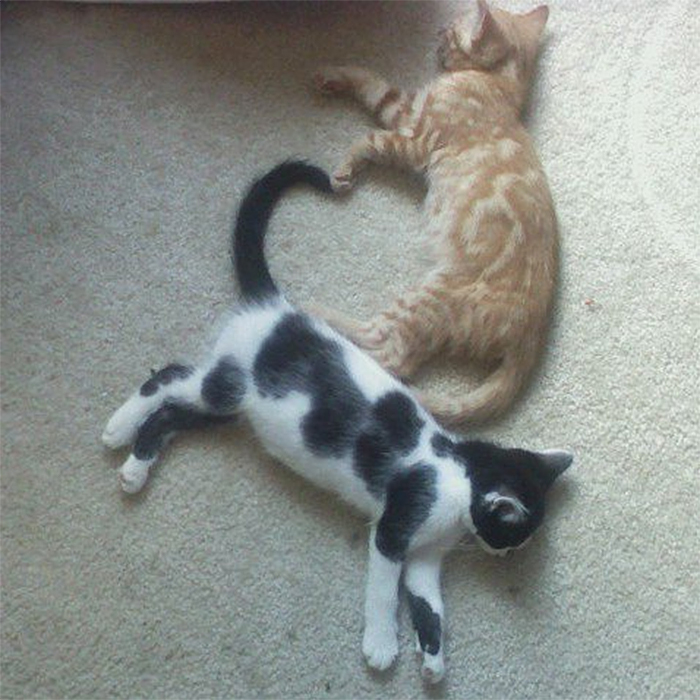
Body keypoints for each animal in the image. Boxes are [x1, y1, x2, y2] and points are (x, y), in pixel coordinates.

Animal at [104, 160, 576, 684]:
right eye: (512, 535)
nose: (507, 555)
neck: (454, 475)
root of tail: (278, 310)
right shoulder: (394, 531)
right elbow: (383, 591)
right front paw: (382, 646)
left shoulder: (425, 558)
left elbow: (429, 606)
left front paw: (432, 659)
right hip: (227, 386)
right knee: (168, 378)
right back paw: (118, 429)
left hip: (229, 412)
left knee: (171, 414)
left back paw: (135, 468)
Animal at [312, 0, 556, 424]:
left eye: (450, 30)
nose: (437, 34)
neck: (498, 84)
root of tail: (530, 336)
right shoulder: (409, 114)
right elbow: (372, 82)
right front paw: (336, 73)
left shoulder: (414, 134)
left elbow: (372, 131)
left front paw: (345, 166)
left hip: (428, 299)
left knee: (390, 355)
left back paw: (318, 315)